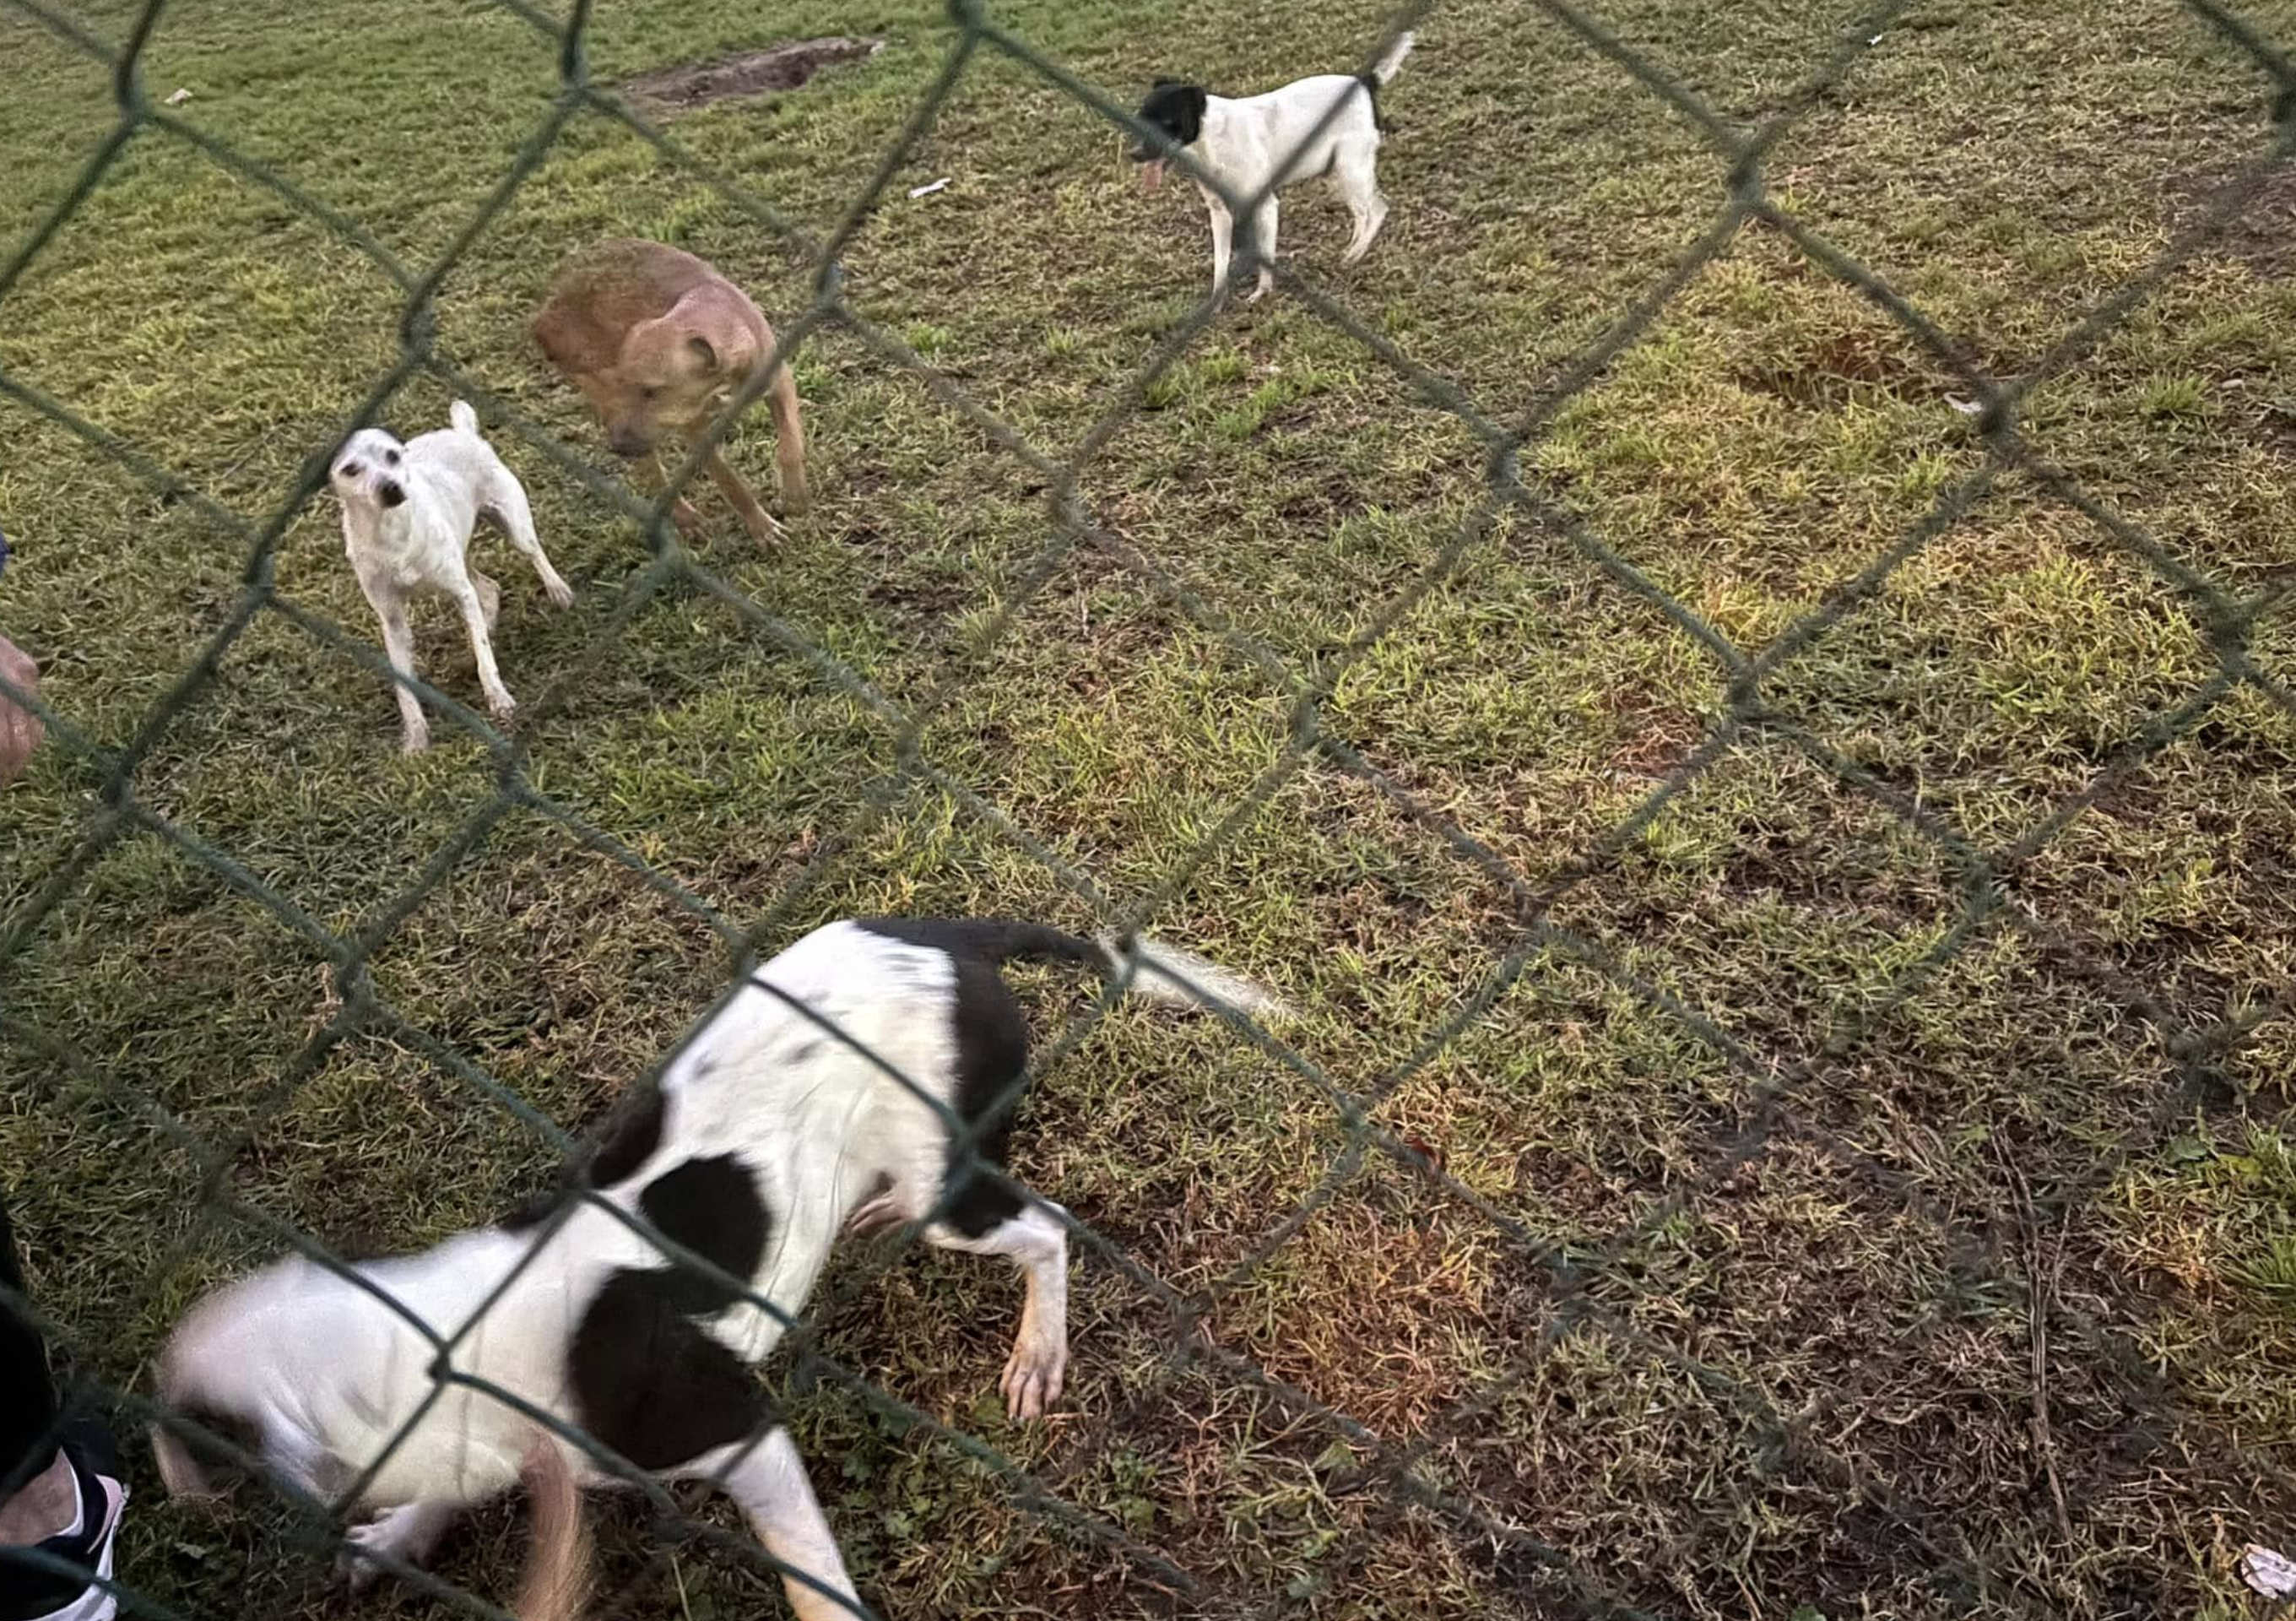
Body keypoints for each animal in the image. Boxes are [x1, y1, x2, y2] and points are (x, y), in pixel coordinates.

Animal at [145, 914, 1295, 1607]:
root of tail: (939, 933)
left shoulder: (739, 1435)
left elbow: (808, 1571)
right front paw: (400, 1538)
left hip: (957, 1194)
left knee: (1046, 1232)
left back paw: (1038, 1352)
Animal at [335, 404, 578, 757]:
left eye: (392, 456)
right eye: (351, 469)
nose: (390, 487)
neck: (391, 532)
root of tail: (463, 432)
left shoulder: (459, 590)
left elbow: (484, 657)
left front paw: (498, 698)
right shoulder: (393, 621)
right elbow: (405, 690)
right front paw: (416, 738)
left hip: (513, 526)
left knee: (533, 555)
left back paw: (557, 590)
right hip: (462, 560)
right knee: (488, 590)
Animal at [530, 238, 808, 541]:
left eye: (651, 391)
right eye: (623, 384)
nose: (616, 445)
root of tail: (542, 319)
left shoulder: (779, 382)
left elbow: (790, 443)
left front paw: (794, 493)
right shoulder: (695, 431)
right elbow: (729, 480)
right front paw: (762, 527)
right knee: (653, 472)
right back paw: (686, 517)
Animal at [1129, 31, 1414, 302]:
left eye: (1167, 123)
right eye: (1139, 119)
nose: (1134, 154)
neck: (1213, 140)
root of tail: (1366, 82)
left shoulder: (1265, 206)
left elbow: (1264, 256)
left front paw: (1262, 292)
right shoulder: (1220, 213)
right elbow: (1221, 265)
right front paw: (1216, 303)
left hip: (1351, 170)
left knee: (1377, 210)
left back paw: (1355, 254)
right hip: (1337, 174)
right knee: (1361, 213)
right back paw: (1351, 250)